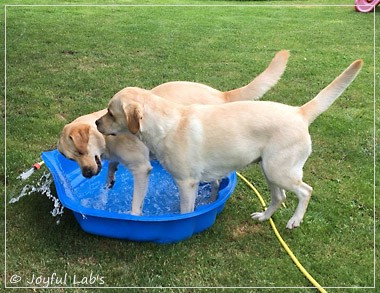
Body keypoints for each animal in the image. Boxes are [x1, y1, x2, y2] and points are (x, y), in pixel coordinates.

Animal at [58, 49, 288, 214]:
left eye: (80, 152)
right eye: (71, 158)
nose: (86, 174)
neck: (108, 140)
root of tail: (222, 95)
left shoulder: (141, 169)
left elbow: (135, 205)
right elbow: (109, 173)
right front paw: (107, 185)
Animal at [95, 60, 362, 228]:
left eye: (110, 112)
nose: (97, 123)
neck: (165, 124)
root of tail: (299, 112)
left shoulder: (187, 183)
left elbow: (185, 212)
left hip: (279, 170)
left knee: (305, 191)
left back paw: (295, 220)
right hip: (269, 170)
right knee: (280, 197)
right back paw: (263, 217)